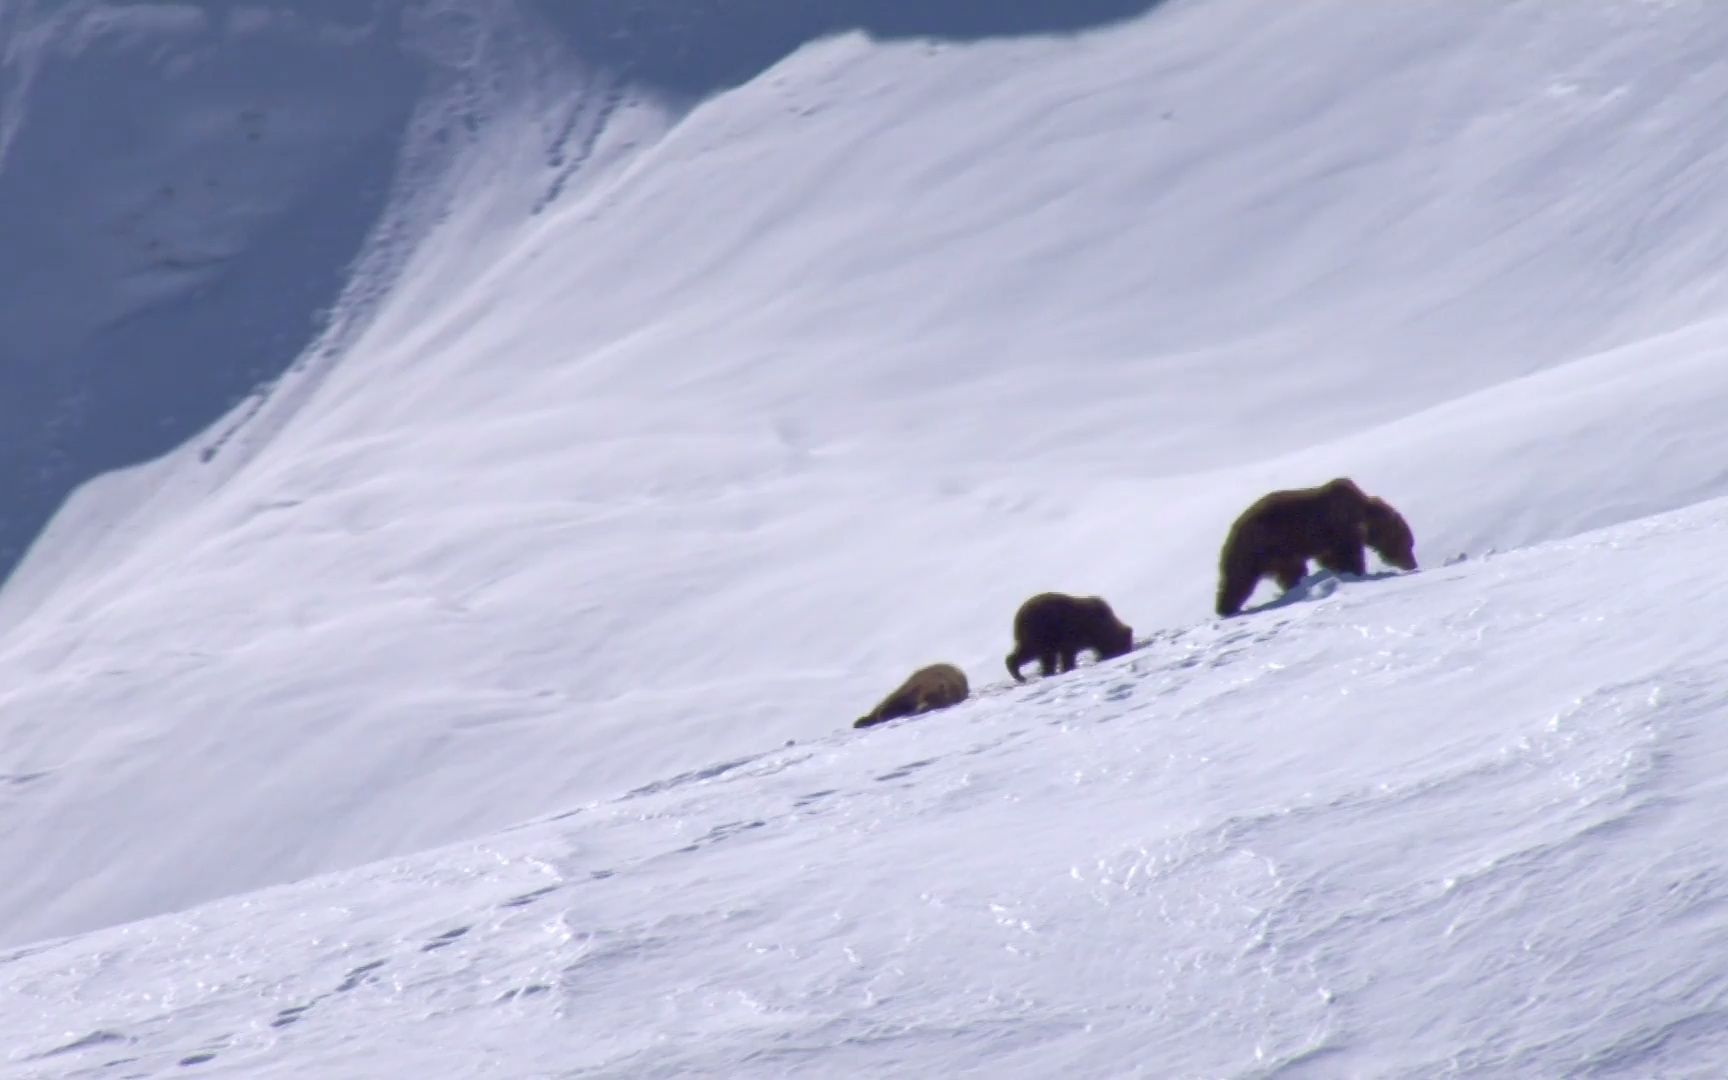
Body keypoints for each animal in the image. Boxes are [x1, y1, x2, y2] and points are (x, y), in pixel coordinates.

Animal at [1002, 590, 1133, 680]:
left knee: (1046, 656)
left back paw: (1046, 672)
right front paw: (1069, 668)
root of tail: (1018, 615)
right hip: (1039, 630)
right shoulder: (1070, 633)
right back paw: (1019, 675)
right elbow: (1068, 654)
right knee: (1029, 650)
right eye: (1125, 645)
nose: (1127, 649)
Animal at [1216, 473, 1416, 615]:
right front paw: (1357, 573)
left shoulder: (1328, 540)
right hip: (1269, 543)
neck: (1364, 516)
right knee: (1243, 579)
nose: (1413, 564)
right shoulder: (1340, 526)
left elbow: (1330, 558)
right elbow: (1348, 554)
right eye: (1408, 544)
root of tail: (1232, 533)